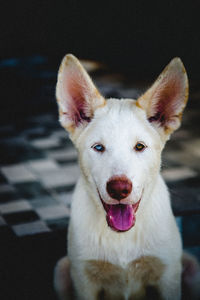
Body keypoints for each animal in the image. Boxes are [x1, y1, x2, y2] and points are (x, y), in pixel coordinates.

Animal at [54, 54, 199, 300]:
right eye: (98, 147)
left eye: (139, 146)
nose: (119, 188)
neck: (122, 236)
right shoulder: (83, 279)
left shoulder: (168, 276)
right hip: (62, 269)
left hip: (191, 267)